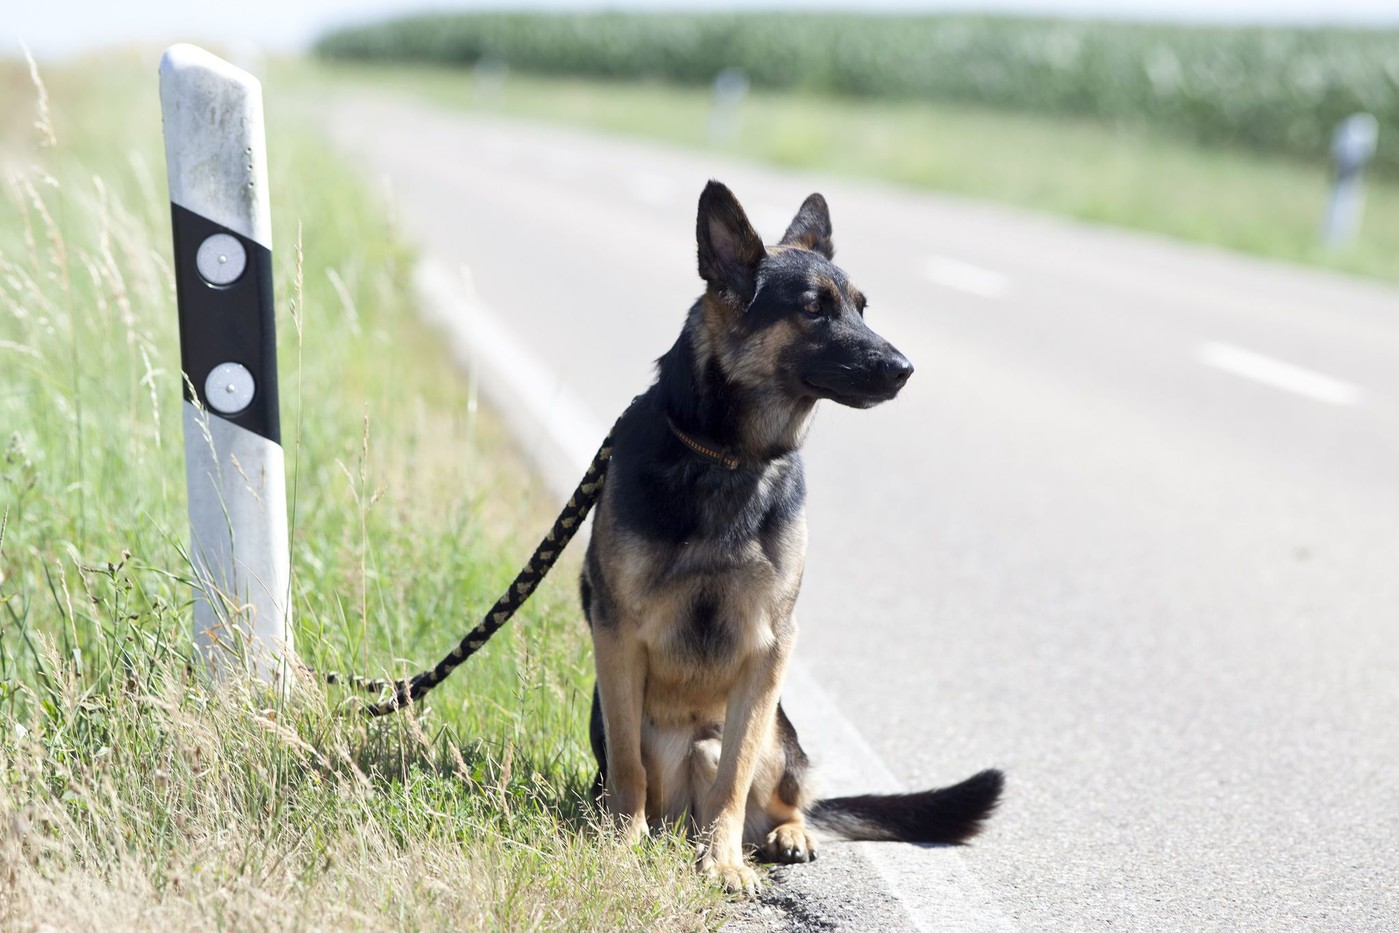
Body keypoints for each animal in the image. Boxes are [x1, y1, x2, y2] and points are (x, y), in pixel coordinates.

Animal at [579, 181, 1007, 895]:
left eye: (861, 308)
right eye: (813, 311)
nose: (904, 369)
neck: (728, 457)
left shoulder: (770, 647)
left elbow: (732, 777)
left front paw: (722, 862)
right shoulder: (616, 633)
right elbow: (630, 767)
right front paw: (619, 844)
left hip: (780, 734)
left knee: (780, 794)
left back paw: (786, 834)